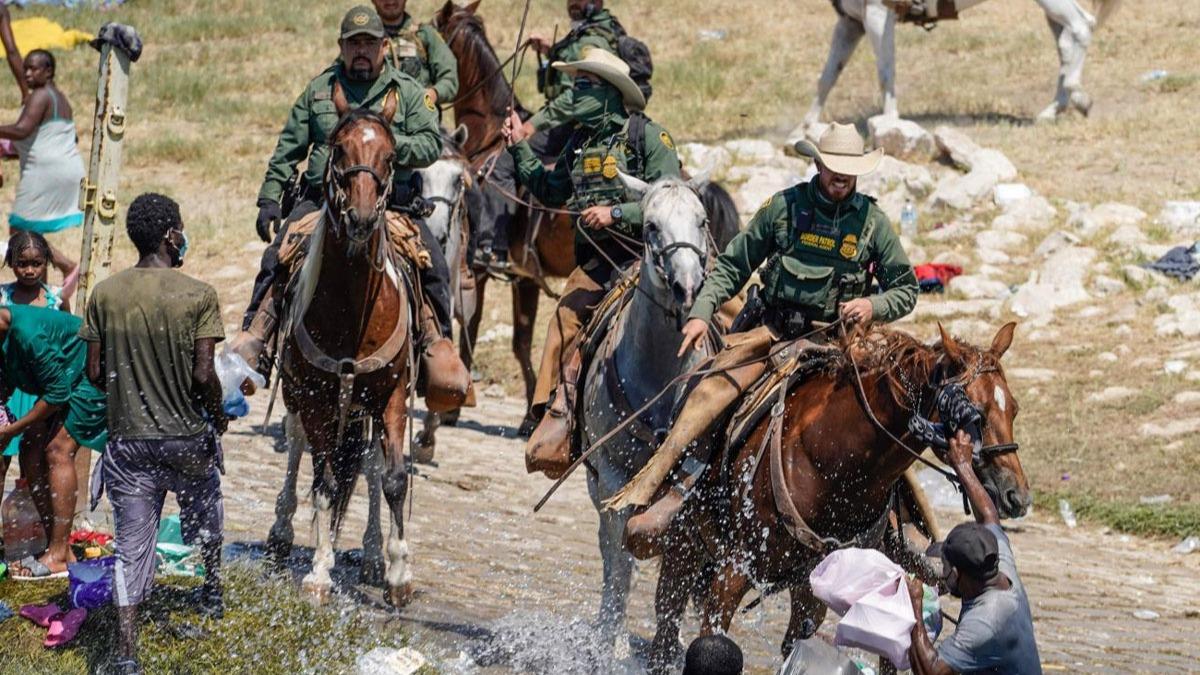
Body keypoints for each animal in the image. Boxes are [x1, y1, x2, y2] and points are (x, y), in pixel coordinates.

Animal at [265, 89, 420, 605]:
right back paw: (281, 535)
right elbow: (326, 482)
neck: (353, 313)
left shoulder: (392, 395)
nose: (363, 218)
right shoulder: (316, 399)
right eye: (338, 150)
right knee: (297, 448)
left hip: (363, 406)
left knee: (369, 465)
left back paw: (372, 554)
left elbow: (392, 479)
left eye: (390, 155)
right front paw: (319, 570)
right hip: (301, 397)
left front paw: (398, 573)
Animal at [648, 319, 1032, 667]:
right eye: (976, 415)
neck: (833, 460)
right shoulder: (734, 570)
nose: (1018, 495)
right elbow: (711, 635)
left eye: (1013, 408)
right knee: (666, 621)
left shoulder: (811, 588)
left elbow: (794, 647)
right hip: (683, 540)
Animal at [801, 0, 1118, 128]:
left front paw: (889, 124)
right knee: (1064, 42)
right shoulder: (851, 22)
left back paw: (1075, 94)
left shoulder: (878, 15)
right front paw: (805, 129)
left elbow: (885, 74)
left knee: (1081, 28)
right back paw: (1055, 109)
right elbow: (827, 77)